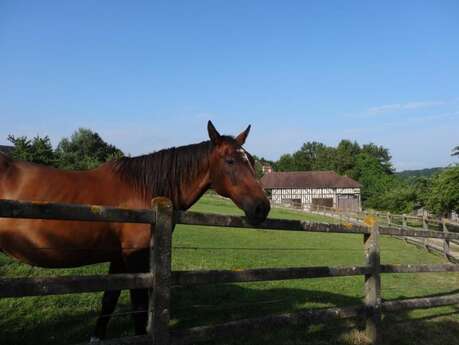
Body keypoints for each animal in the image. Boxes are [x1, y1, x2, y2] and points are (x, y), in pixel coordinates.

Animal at [0, 120, 270, 338]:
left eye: (251, 161)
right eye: (230, 161)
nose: (262, 207)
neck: (143, 189)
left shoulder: (120, 259)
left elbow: (109, 301)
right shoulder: (135, 257)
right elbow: (138, 307)